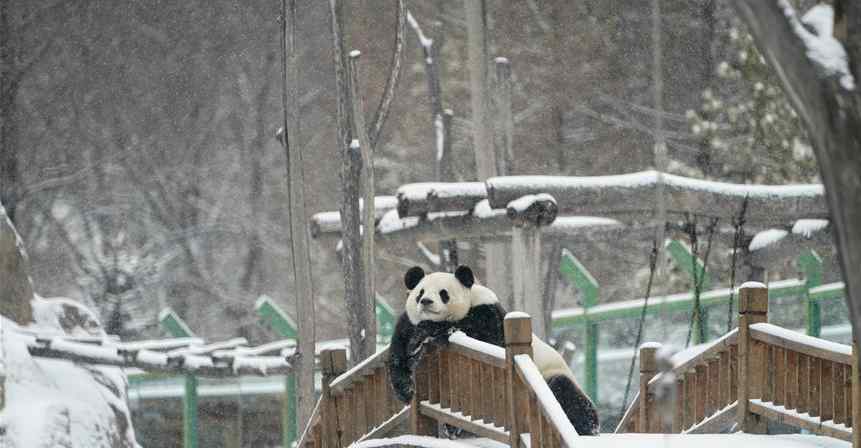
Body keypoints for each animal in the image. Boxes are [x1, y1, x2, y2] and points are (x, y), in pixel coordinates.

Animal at [388, 264, 596, 436]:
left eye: (443, 293)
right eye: (420, 292)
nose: (426, 301)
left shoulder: (488, 314)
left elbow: (486, 338)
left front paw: (433, 330)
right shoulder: (407, 324)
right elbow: (399, 351)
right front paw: (405, 389)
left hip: (551, 376)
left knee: (566, 392)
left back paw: (586, 429)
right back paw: (453, 428)